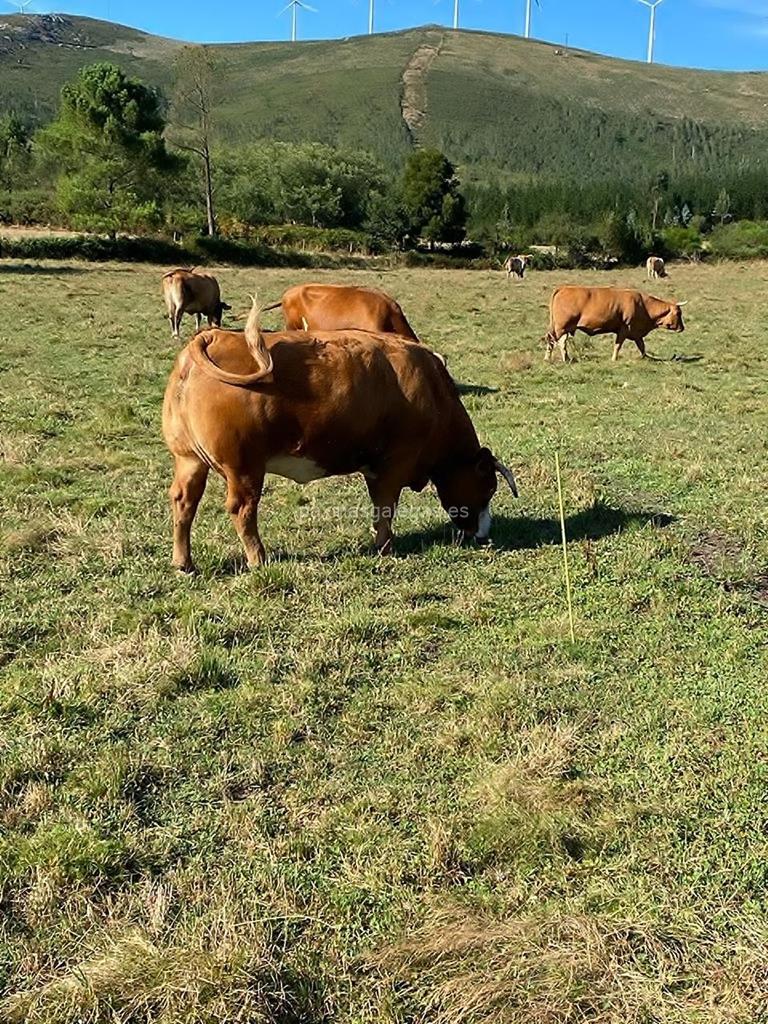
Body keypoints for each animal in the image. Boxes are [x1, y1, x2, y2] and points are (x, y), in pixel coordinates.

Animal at [161, 299, 518, 573]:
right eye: (488, 487)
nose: (484, 533)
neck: (432, 391)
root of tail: (212, 338)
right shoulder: (394, 464)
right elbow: (385, 506)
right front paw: (385, 546)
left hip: (189, 459)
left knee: (184, 502)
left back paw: (183, 563)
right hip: (244, 468)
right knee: (242, 510)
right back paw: (258, 558)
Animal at [544, 284, 688, 364]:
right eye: (678, 313)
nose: (682, 328)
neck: (644, 306)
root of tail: (563, 288)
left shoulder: (636, 333)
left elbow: (642, 346)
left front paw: (645, 357)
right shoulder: (624, 329)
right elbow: (618, 345)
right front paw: (614, 359)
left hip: (561, 328)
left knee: (555, 341)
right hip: (561, 327)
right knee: (557, 342)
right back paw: (559, 358)